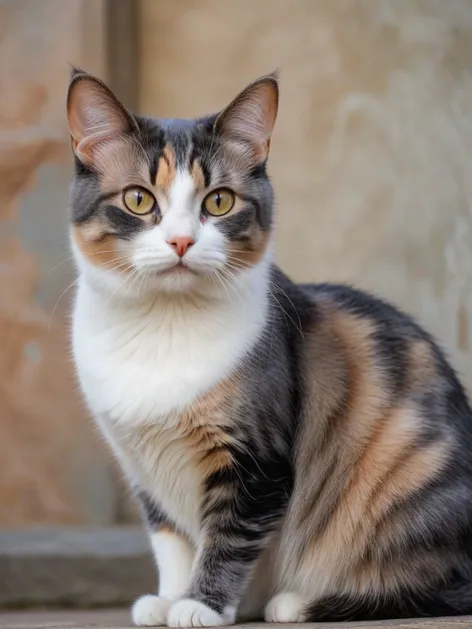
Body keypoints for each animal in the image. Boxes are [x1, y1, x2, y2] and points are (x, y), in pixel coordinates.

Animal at [67, 66, 472, 624]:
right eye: (138, 199)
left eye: (218, 201)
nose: (180, 241)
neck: (163, 324)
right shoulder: (142, 468)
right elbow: (171, 541)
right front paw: (169, 598)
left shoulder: (256, 461)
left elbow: (226, 540)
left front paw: (200, 606)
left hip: (410, 475)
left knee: (439, 586)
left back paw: (299, 602)